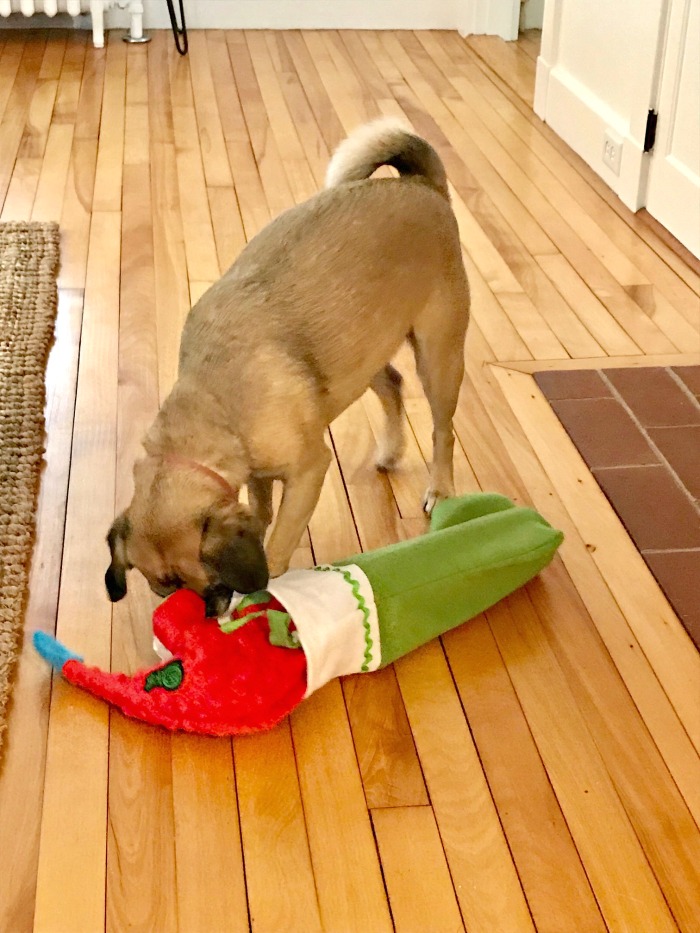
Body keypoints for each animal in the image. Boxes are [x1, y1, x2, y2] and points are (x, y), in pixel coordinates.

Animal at [106, 118, 470, 618]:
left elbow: (277, 543)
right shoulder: (257, 475)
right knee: (394, 385)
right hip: (359, 357)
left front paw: (268, 583)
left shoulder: (308, 471)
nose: (206, 611)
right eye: (166, 589)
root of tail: (422, 185)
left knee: (442, 430)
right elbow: (260, 510)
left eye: (201, 577)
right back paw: (390, 451)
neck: (213, 402)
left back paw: (441, 488)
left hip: (436, 356)